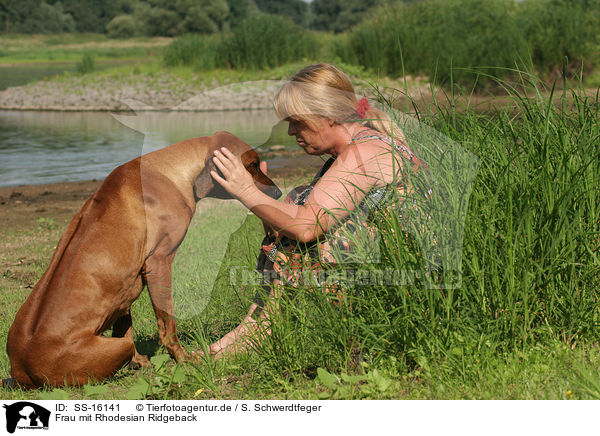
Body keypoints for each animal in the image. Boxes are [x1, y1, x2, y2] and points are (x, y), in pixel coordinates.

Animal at [5, 130, 282, 388]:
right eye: (252, 164)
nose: (278, 192)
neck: (172, 172)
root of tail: (22, 371)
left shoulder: (128, 282)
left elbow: (124, 323)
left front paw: (139, 362)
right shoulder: (159, 261)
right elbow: (167, 322)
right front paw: (183, 359)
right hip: (113, 346)